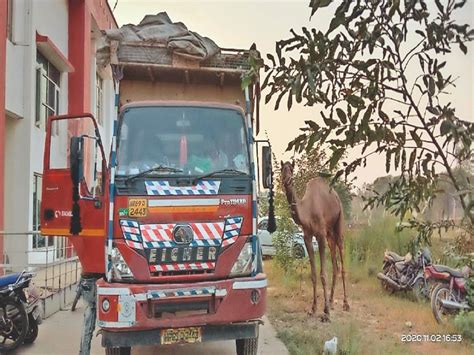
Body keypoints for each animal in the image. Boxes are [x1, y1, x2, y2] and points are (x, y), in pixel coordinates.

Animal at [280, 160, 350, 322]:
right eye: (282, 169)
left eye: (291, 169)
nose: (287, 180)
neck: (307, 210)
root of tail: (336, 197)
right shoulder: (307, 236)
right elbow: (313, 274)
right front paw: (313, 309)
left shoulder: (320, 235)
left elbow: (323, 274)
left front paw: (326, 313)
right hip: (330, 234)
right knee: (336, 265)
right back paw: (331, 301)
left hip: (338, 224)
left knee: (342, 261)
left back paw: (345, 304)